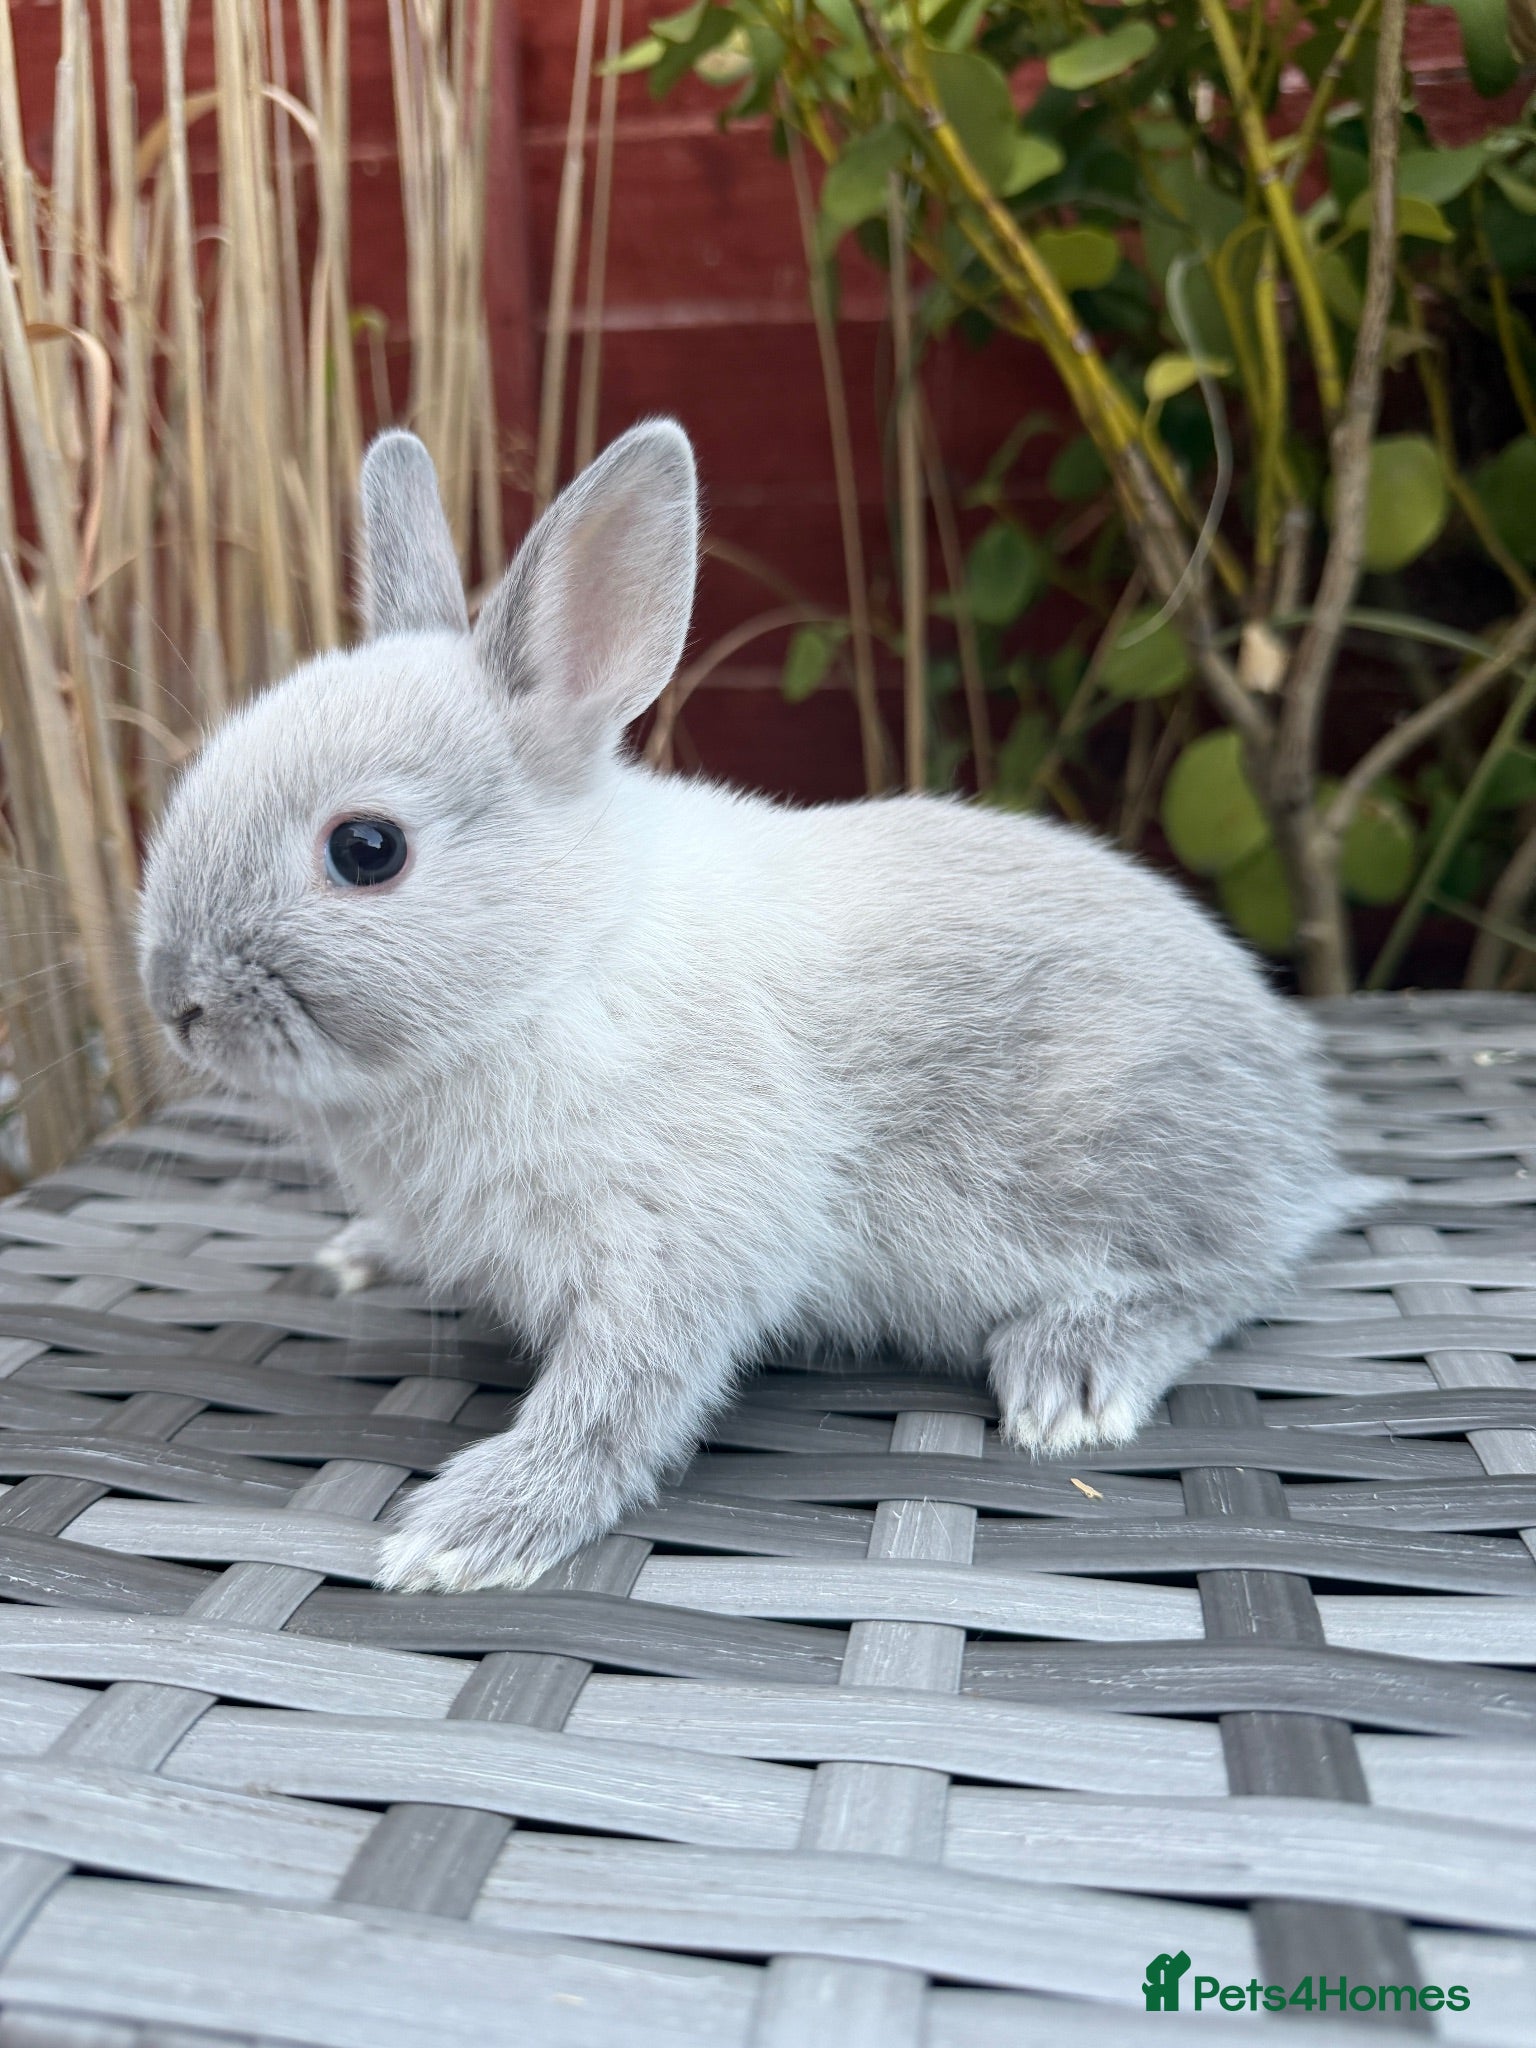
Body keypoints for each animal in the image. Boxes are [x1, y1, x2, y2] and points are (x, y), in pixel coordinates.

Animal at [139, 417, 1369, 1594]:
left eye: (366, 849)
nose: (175, 1000)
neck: (557, 962)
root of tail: (1299, 1114)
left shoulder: (678, 1247)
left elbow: (620, 1396)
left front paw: (469, 1536)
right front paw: (358, 1260)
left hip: (1125, 1154)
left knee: (1231, 1269)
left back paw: (1071, 1377)